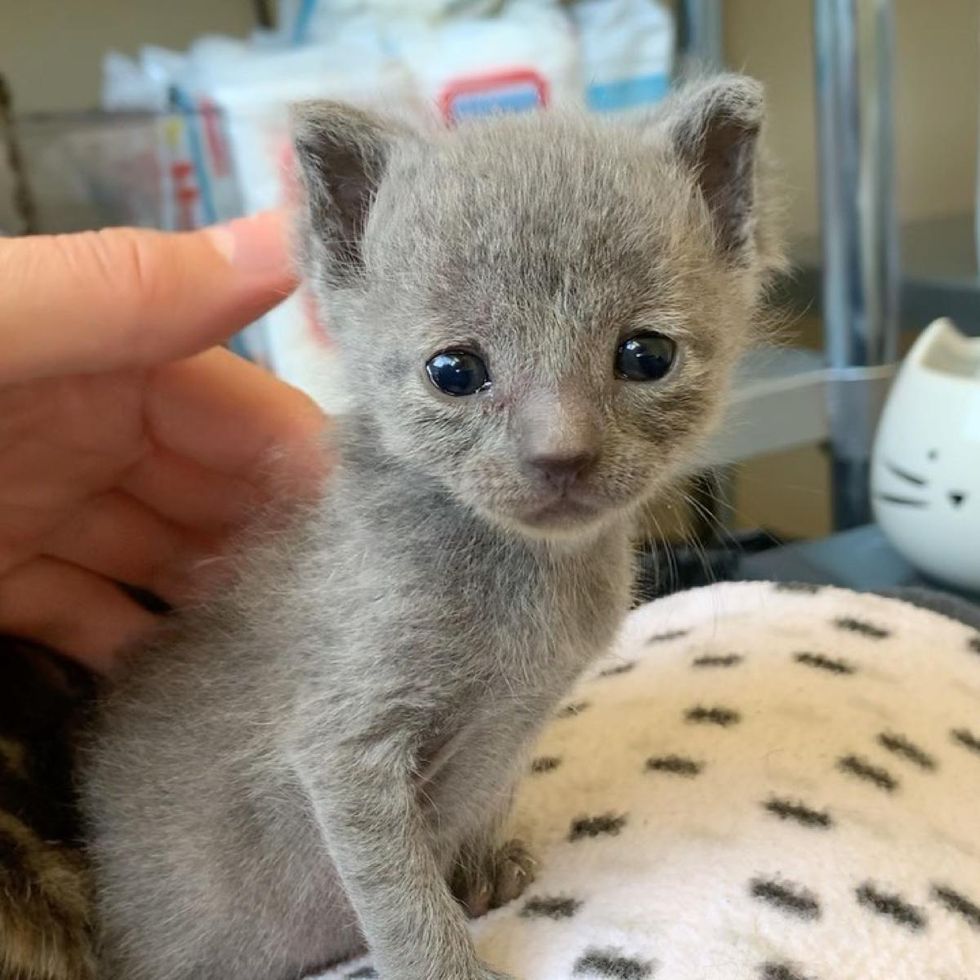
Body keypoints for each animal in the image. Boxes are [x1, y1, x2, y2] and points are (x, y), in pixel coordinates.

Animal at [78, 71, 780, 980]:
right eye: (454, 370)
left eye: (646, 355)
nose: (560, 454)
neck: (531, 580)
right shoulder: (344, 744)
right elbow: (398, 895)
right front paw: (446, 956)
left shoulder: (522, 716)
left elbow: (492, 790)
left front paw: (479, 872)